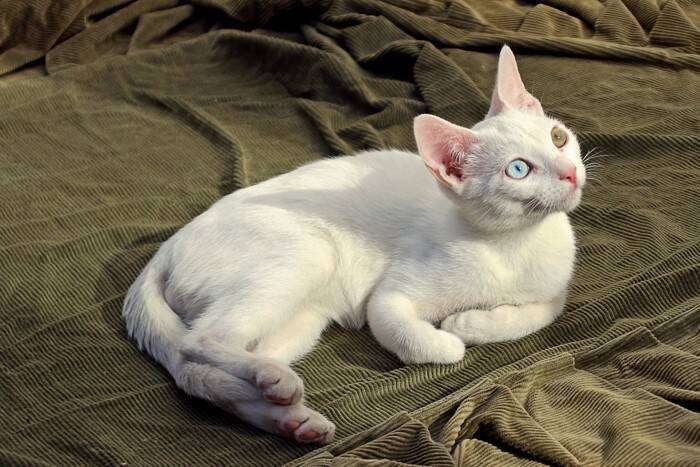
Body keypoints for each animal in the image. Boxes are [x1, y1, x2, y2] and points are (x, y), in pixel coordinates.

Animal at [123, 45, 585, 445]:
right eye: (518, 169)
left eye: (558, 138)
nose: (570, 174)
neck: (515, 246)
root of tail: (165, 250)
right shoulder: (388, 297)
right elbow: (411, 336)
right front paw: (450, 339)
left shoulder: (555, 289)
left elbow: (542, 312)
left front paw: (474, 322)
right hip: (310, 255)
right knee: (199, 343)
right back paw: (279, 384)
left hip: (303, 317)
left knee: (198, 373)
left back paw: (289, 413)